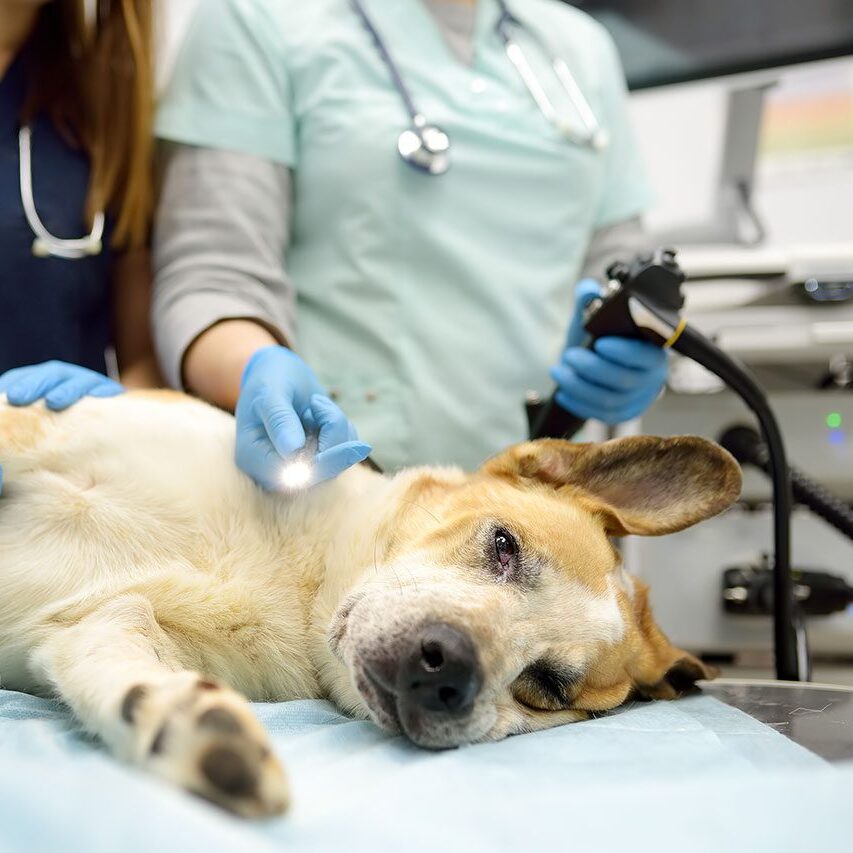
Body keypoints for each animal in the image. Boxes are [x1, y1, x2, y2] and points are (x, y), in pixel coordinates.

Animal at [0, 392, 740, 820]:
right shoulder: (35, 430)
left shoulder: (88, 625)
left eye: (546, 689)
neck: (299, 573)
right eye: (503, 544)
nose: (444, 667)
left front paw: (192, 724)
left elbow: (123, 655)